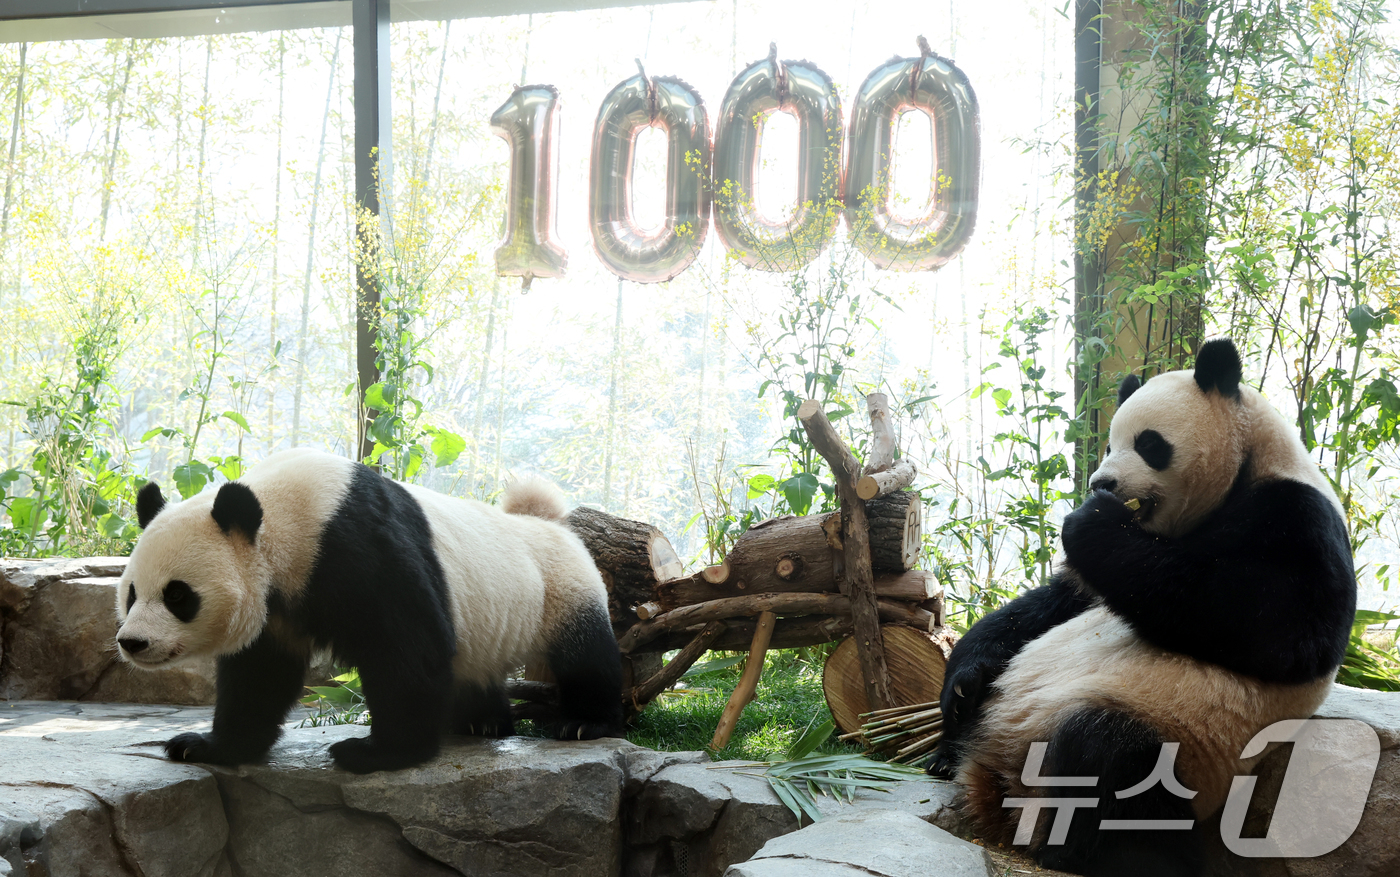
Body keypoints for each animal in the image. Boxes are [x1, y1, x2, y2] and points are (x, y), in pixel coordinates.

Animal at [114, 447, 625, 774]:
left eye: (178, 595)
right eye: (132, 593)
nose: (132, 642)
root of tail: (546, 521)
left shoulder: (355, 545)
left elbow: (406, 650)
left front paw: (375, 754)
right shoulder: (279, 605)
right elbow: (260, 676)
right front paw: (204, 746)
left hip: (561, 588)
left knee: (587, 654)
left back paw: (581, 723)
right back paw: (482, 721)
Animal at [927, 339, 1356, 876]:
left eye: (1150, 444)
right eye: (1109, 445)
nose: (1101, 483)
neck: (1246, 468)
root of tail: (1000, 781)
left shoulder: (1297, 518)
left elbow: (1282, 626)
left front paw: (1091, 523)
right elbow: (1048, 605)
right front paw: (962, 680)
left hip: (1181, 737)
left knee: (1108, 758)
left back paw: (1077, 849)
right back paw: (948, 752)